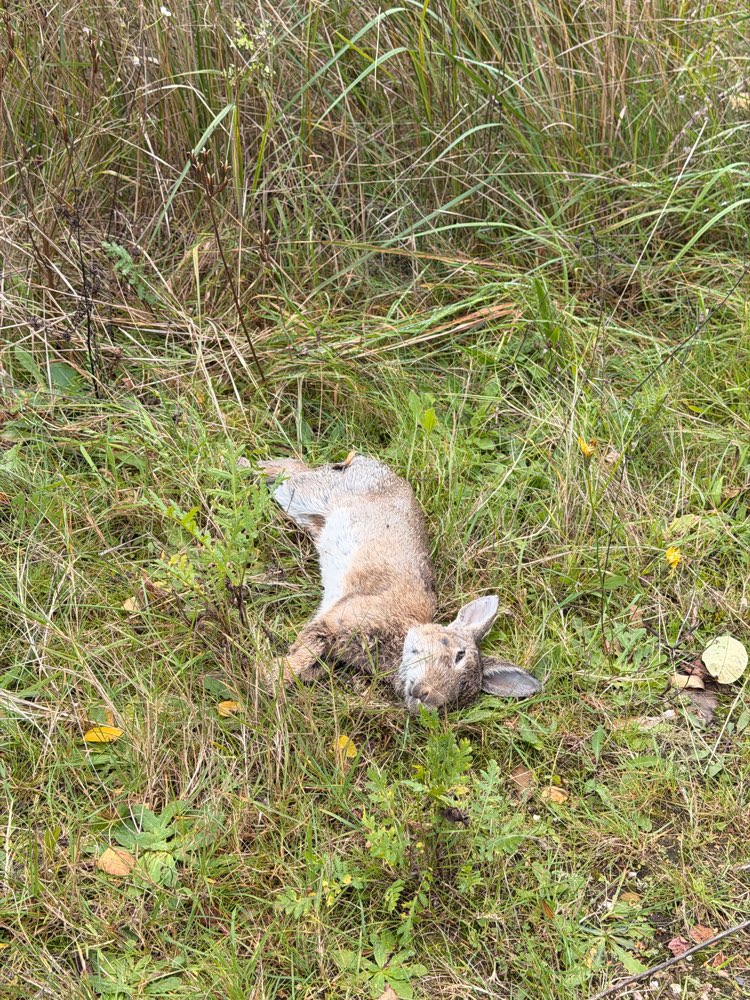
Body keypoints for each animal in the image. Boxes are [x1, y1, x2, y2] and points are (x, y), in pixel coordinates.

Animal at [258, 454, 542, 711]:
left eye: (456, 700)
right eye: (458, 654)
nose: (428, 699)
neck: (403, 634)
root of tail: (365, 462)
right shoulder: (335, 623)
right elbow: (304, 652)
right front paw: (270, 679)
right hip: (309, 492)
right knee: (289, 470)